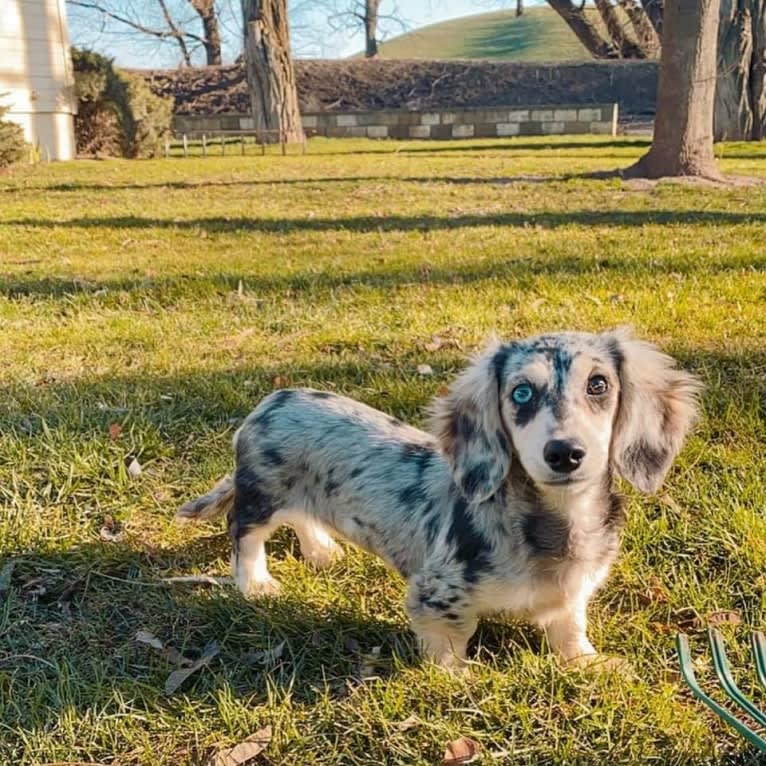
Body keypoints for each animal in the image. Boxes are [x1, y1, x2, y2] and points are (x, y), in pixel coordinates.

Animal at [178, 330, 704, 672]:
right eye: (522, 392)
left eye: (599, 384)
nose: (565, 453)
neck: (558, 522)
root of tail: (269, 402)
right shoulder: (437, 594)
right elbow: (451, 642)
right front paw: (458, 679)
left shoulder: (572, 595)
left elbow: (570, 627)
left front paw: (589, 664)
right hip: (261, 496)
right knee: (245, 532)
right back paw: (256, 583)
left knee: (303, 516)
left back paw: (322, 551)